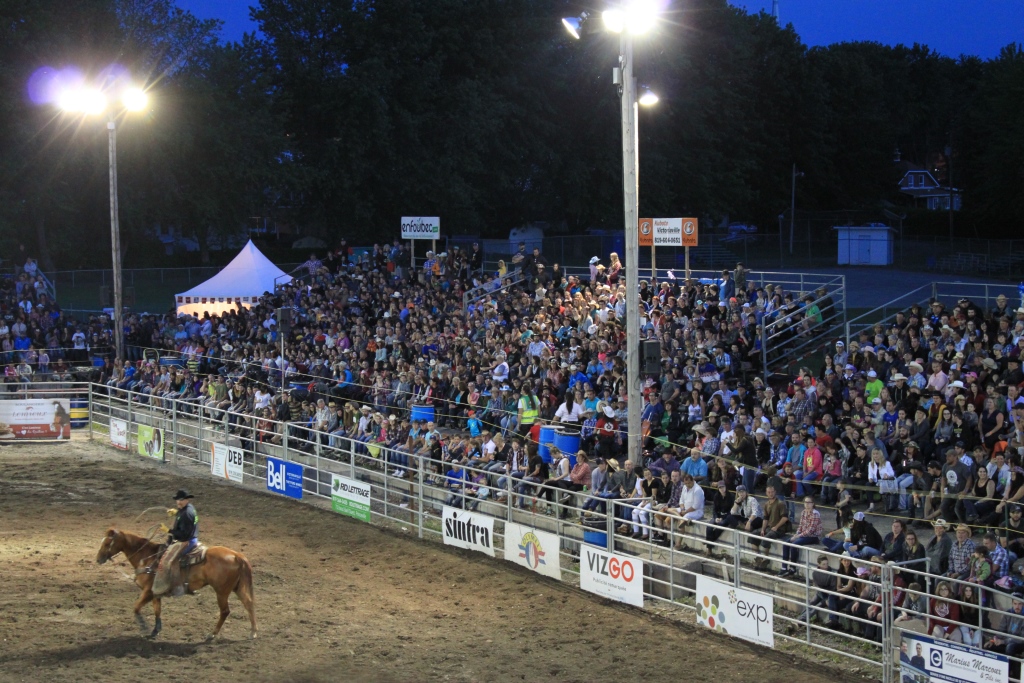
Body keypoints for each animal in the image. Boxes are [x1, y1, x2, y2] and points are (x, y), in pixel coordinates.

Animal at [95, 528, 256, 643]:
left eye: (107, 543)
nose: (98, 559)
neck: (147, 557)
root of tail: (237, 556)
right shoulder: (155, 592)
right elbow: (157, 610)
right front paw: (155, 630)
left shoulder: (148, 591)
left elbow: (136, 608)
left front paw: (144, 627)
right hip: (236, 587)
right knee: (248, 603)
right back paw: (253, 632)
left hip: (221, 591)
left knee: (225, 611)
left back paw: (211, 635)